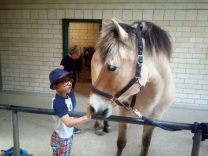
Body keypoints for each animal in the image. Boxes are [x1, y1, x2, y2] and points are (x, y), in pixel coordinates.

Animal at [90, 18, 176, 156]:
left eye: (111, 67)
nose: (93, 106)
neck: (154, 95)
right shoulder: (125, 116)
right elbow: (121, 143)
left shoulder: (153, 120)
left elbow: (146, 143)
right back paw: (99, 127)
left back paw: (106, 126)